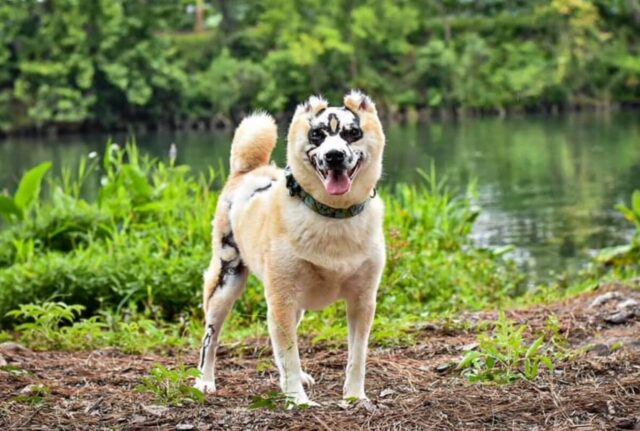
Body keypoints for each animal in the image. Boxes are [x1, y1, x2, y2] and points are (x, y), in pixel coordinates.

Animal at [195, 89, 384, 406]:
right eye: (317, 134)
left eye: (352, 133)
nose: (334, 155)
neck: (332, 215)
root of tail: (249, 171)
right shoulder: (282, 298)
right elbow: (290, 354)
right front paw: (299, 400)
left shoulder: (363, 301)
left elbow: (357, 356)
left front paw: (355, 397)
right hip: (225, 284)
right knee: (210, 339)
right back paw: (205, 381)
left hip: (293, 306)